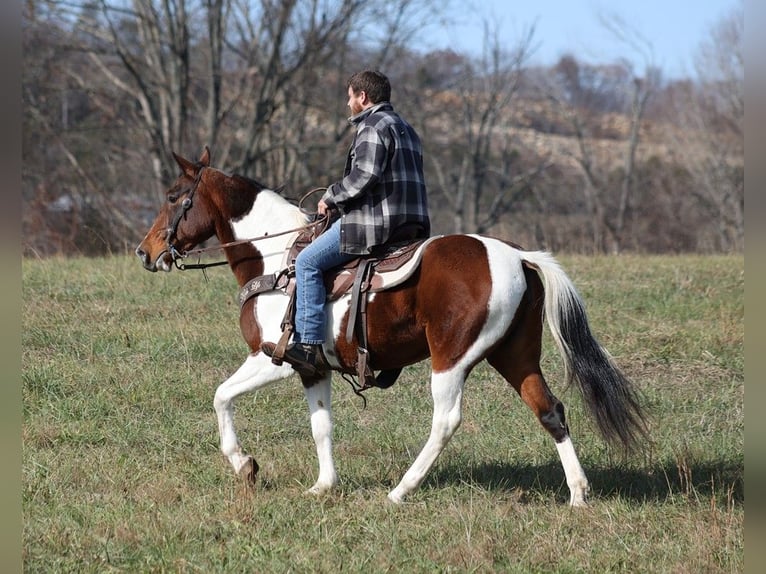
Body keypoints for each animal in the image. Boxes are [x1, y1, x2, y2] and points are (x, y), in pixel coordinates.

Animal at [136, 148, 648, 508]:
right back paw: (578, 494)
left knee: (446, 421)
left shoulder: (274, 358)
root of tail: (516, 255)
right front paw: (324, 486)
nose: (145, 251)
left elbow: (221, 396)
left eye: (173, 197)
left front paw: (244, 466)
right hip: (515, 356)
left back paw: (402, 490)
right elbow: (321, 426)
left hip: (452, 359)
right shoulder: (313, 369)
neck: (276, 259)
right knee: (550, 410)